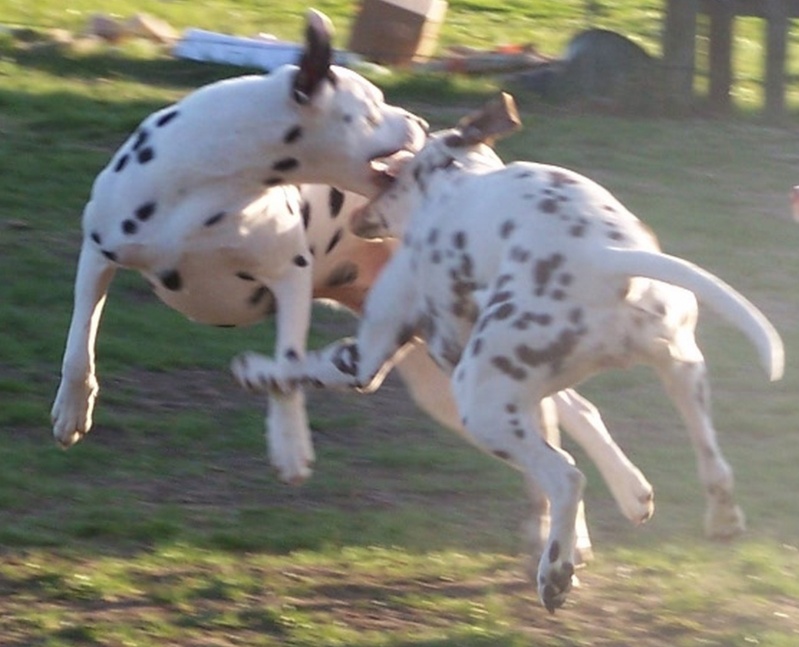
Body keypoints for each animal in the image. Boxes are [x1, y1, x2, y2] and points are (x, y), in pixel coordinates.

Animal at [50, 7, 428, 484]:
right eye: (374, 107)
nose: (423, 124)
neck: (212, 178)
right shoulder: (98, 254)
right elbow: (78, 346)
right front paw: (72, 409)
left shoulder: (291, 275)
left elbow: (287, 367)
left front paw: (289, 442)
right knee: (360, 370)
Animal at [230, 93, 780, 612]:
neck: (459, 184)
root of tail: (603, 260)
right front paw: (630, 493)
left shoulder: (366, 360)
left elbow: (297, 367)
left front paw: (256, 371)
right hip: (683, 373)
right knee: (714, 465)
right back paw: (720, 518)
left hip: (482, 405)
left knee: (566, 477)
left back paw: (555, 574)